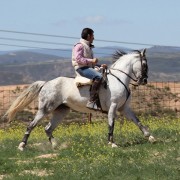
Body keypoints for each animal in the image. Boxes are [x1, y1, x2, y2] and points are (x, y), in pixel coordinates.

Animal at [4, 48, 156, 150]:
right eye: (145, 65)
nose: (144, 80)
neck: (118, 79)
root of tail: (46, 83)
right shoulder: (113, 107)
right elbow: (111, 124)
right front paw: (112, 143)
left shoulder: (125, 108)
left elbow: (137, 121)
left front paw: (150, 137)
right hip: (45, 109)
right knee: (31, 125)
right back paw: (22, 145)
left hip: (61, 111)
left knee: (48, 128)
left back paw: (56, 145)